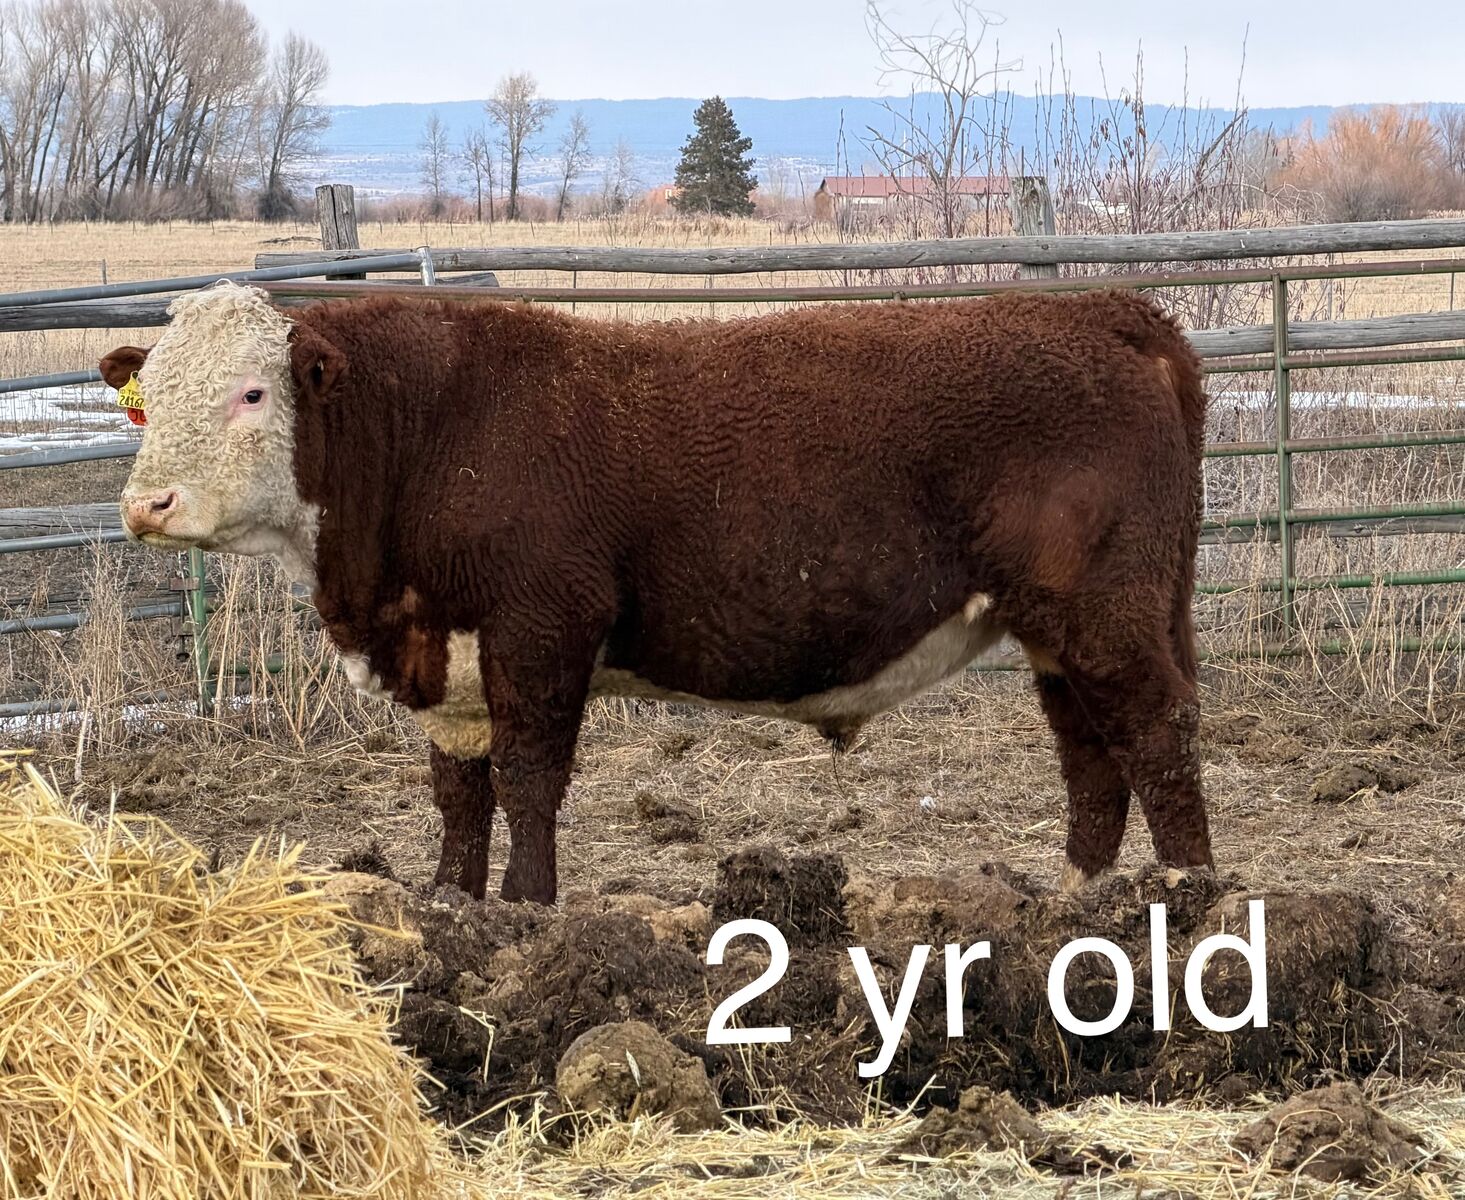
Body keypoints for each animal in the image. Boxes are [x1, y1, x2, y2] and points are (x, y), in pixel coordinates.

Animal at [102, 281, 1212, 904]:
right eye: (146, 399)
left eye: (252, 391)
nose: (146, 503)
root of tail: (1106, 314)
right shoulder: (449, 655)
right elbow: (459, 790)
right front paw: (447, 905)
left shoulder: (541, 629)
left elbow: (527, 778)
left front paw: (525, 908)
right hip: (1057, 628)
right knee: (1089, 749)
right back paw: (1077, 899)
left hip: (1106, 612)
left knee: (1153, 729)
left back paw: (1188, 896)